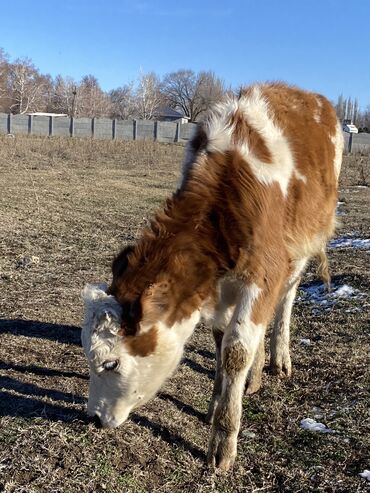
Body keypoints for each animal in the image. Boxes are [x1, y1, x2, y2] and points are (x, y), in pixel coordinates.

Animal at [81, 83, 344, 468]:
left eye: (111, 362)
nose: (94, 417)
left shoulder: (265, 271)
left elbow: (236, 350)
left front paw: (223, 440)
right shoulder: (220, 288)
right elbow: (222, 342)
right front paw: (216, 402)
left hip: (302, 247)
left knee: (286, 300)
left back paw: (279, 359)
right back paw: (256, 374)